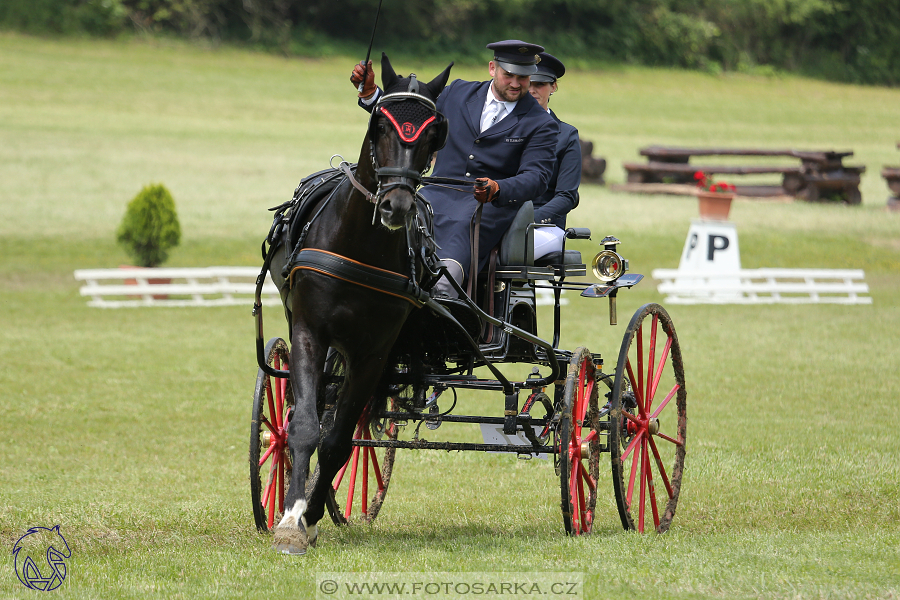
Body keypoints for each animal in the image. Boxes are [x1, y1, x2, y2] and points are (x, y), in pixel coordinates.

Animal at [268, 55, 450, 552]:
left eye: (432, 134)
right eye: (380, 125)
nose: (396, 206)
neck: (359, 247)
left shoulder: (374, 353)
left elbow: (338, 439)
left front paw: (310, 517)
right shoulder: (309, 331)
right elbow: (305, 425)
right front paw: (290, 520)